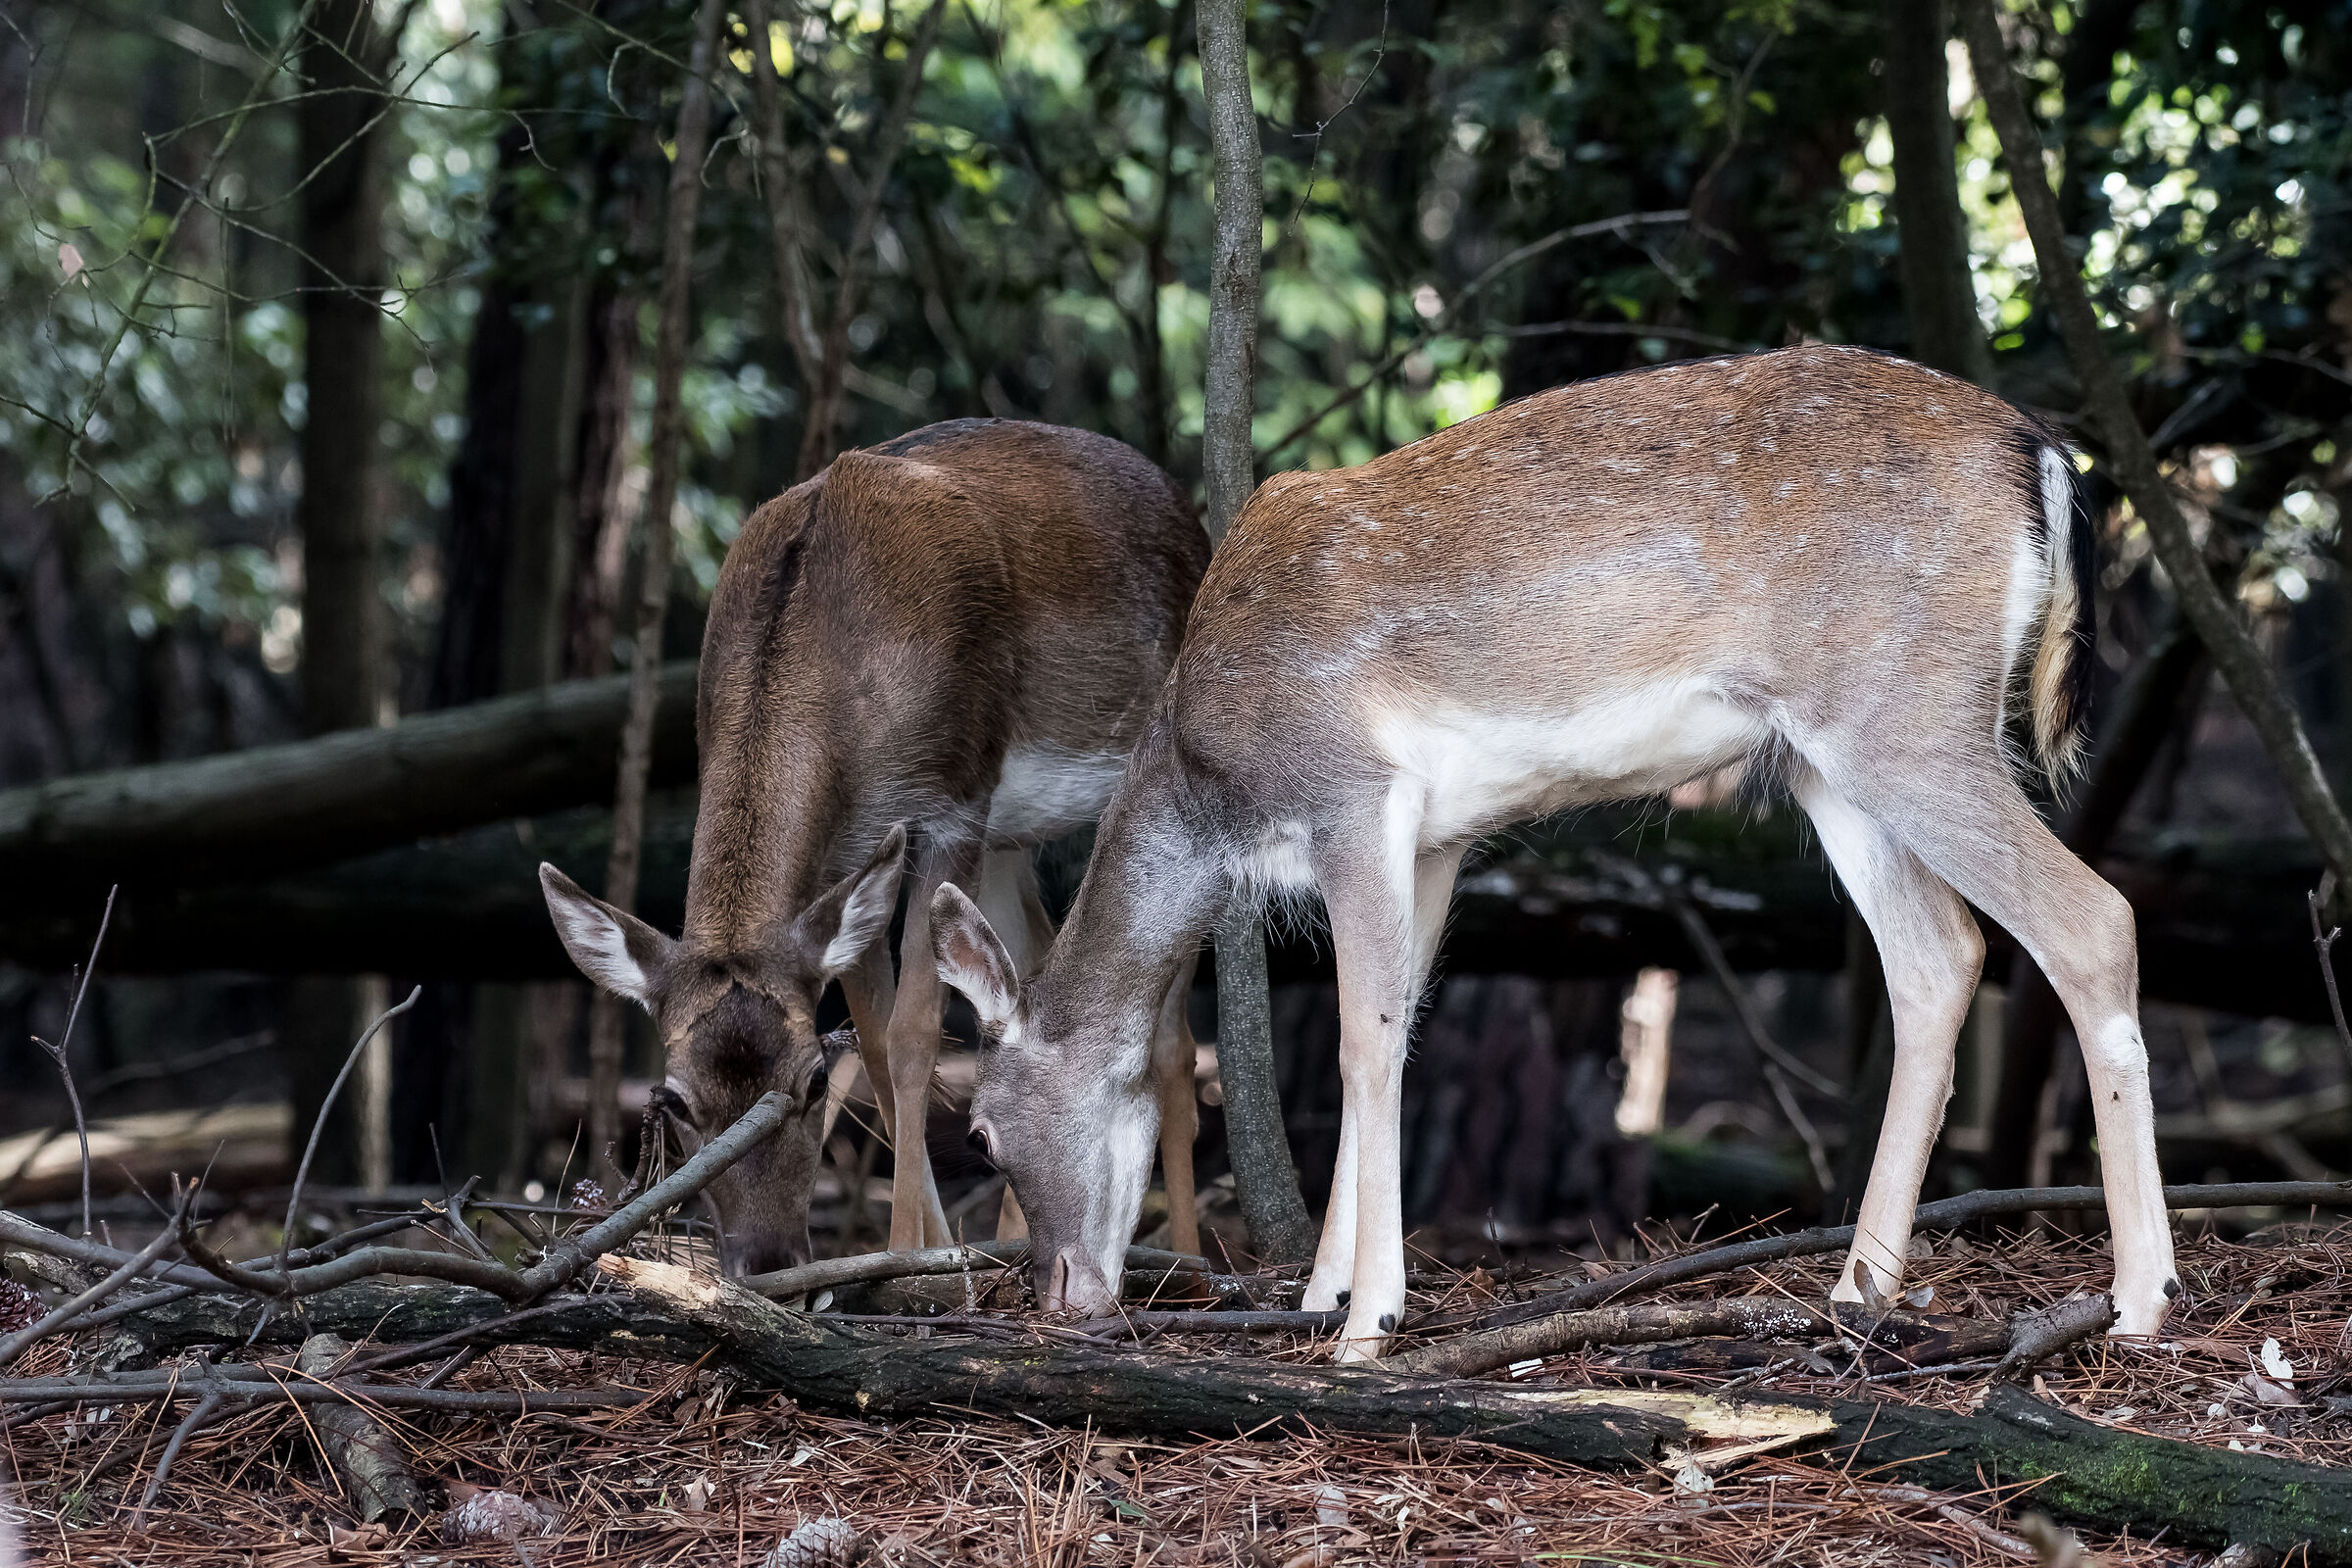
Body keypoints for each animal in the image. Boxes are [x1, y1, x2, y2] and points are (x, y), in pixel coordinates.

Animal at [540, 418, 1211, 1276]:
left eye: (812, 1083)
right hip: (1007, 839)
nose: (767, 1258)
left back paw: (1195, 1258)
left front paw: (903, 1256)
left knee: (1171, 1040)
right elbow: (880, 1040)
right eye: (678, 1101)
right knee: (1034, 967)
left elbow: (914, 1033)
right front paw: (925, 1250)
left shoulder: (954, 798)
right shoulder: (853, 852)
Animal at [931, 345, 2181, 1361]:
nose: (1062, 1295)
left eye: (982, 1131)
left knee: (2094, 919)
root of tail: (2043, 453)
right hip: (1829, 762)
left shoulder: (1352, 789)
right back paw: (1859, 1286)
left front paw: (1369, 1319)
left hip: (1903, 715)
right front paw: (1325, 1291)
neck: (1209, 782)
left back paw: (2138, 1298)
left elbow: (1356, 1041)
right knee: (1939, 958)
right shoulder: (1436, 837)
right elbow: (1399, 1021)